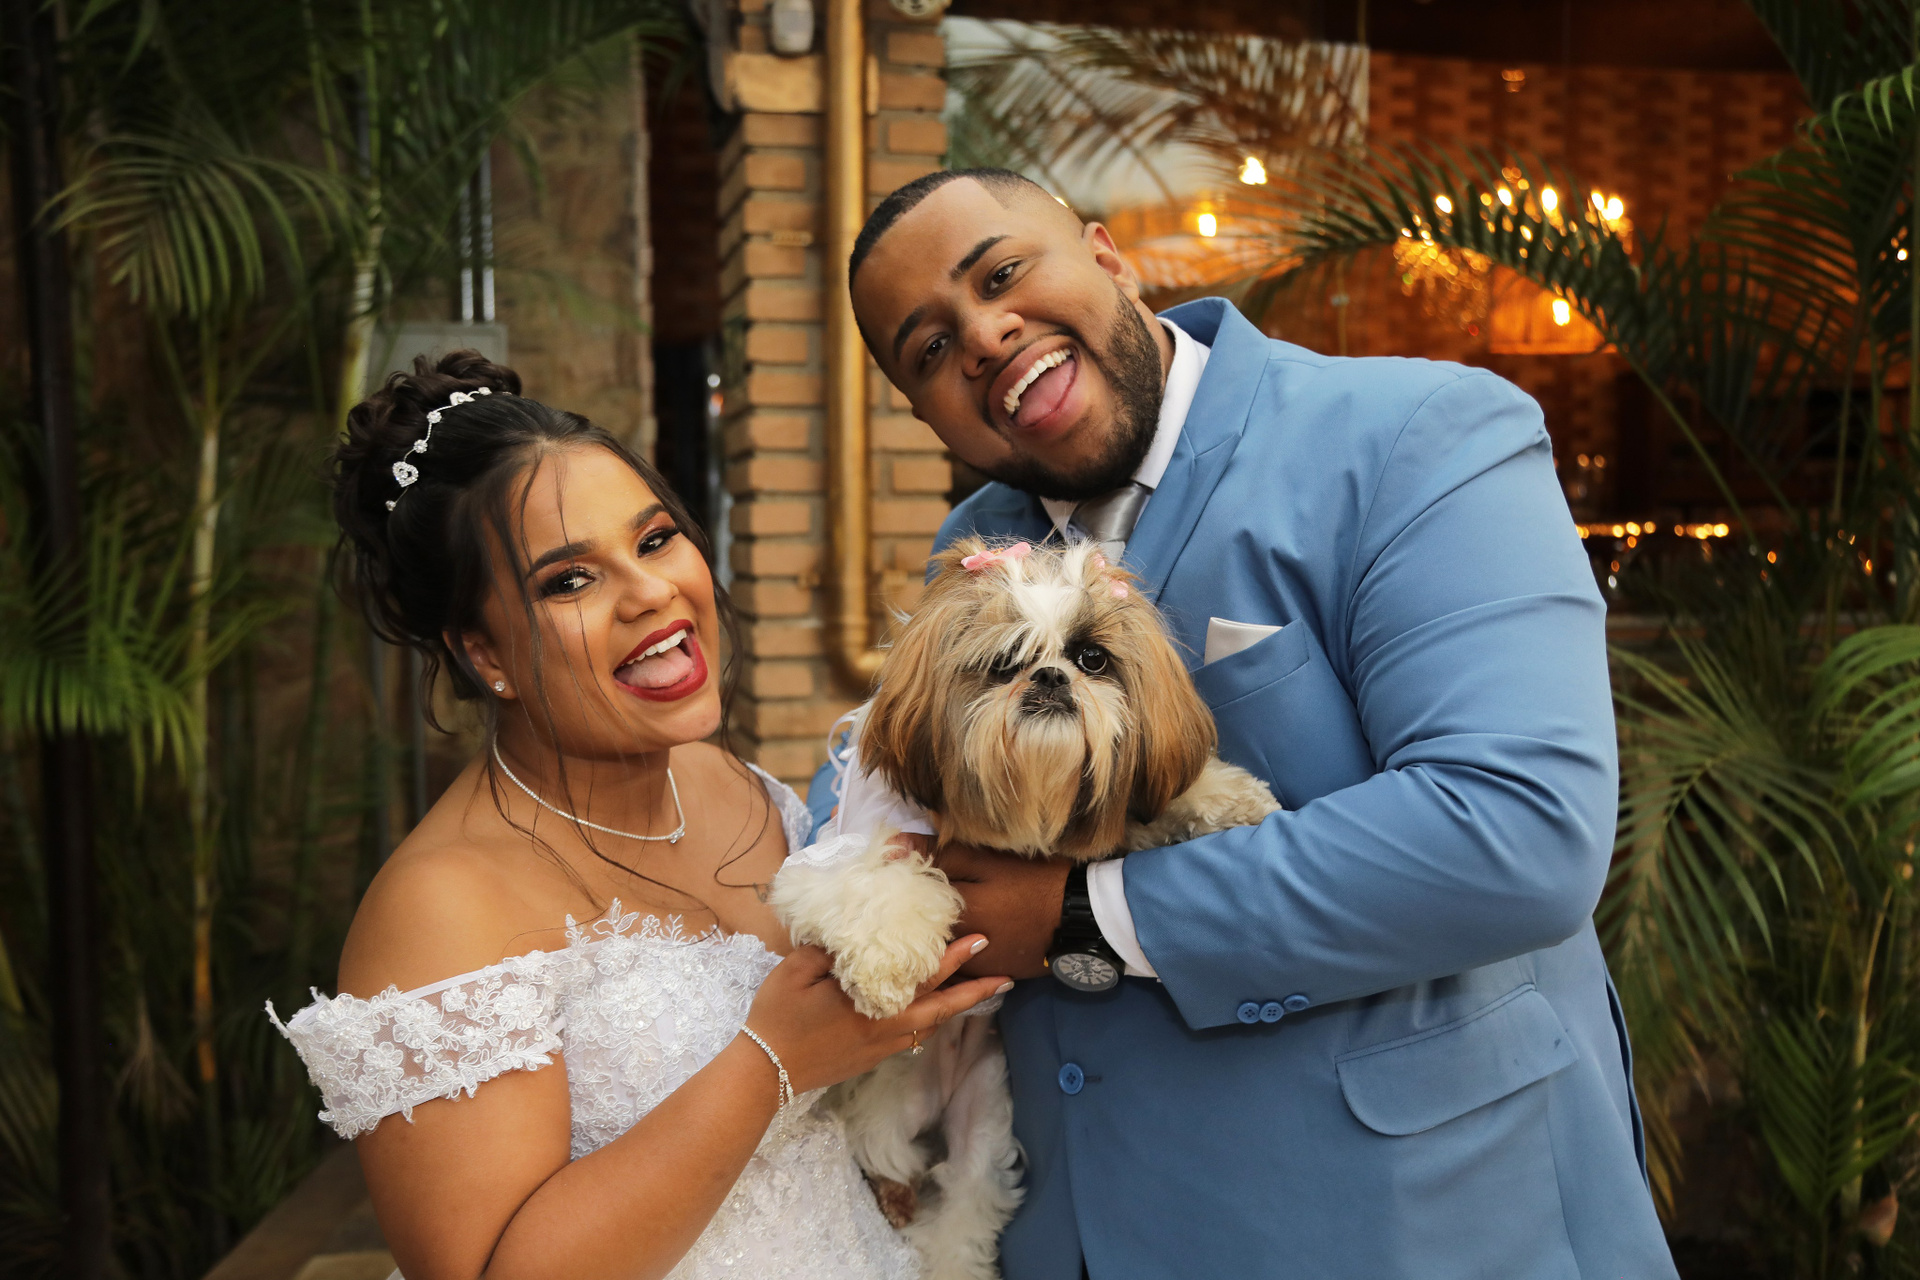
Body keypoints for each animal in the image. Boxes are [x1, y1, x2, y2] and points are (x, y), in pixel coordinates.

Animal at [771, 537, 1280, 1280]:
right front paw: (888, 968)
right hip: (892, 1110)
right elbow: (884, 885)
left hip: (983, 1116)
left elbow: (1155, 801)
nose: (1049, 678)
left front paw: (1225, 796)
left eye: (1091, 659)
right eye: (1004, 662)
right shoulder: (841, 858)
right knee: (891, 1160)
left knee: (964, 1203)